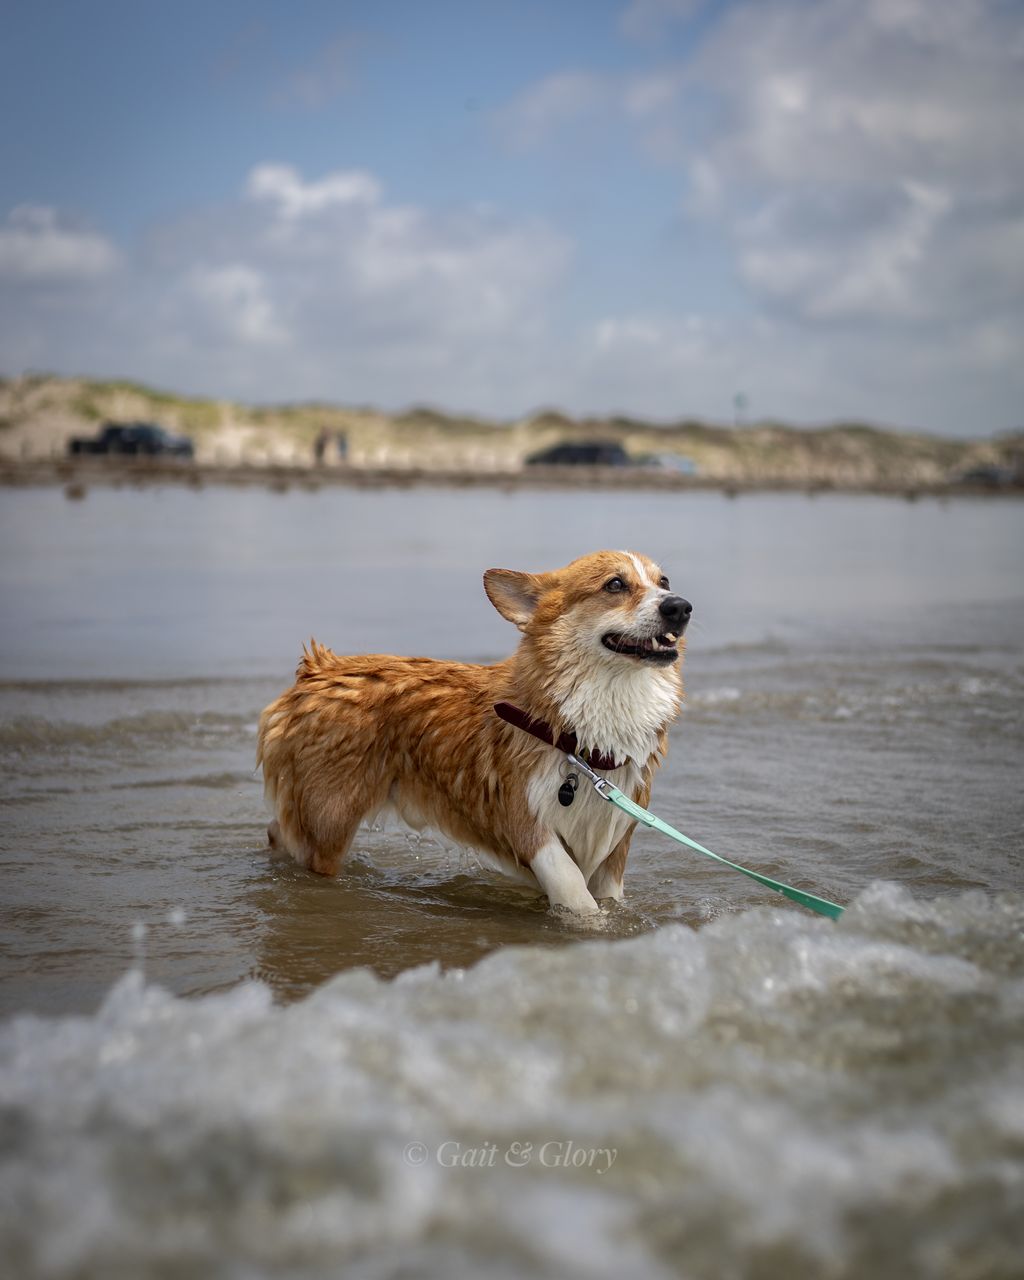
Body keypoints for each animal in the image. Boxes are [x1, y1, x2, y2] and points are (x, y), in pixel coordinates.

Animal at [254, 550, 686, 911]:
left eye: (664, 581)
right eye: (615, 585)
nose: (680, 607)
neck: (584, 744)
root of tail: (319, 668)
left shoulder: (615, 838)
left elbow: (604, 894)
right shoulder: (528, 822)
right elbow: (573, 889)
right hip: (330, 822)